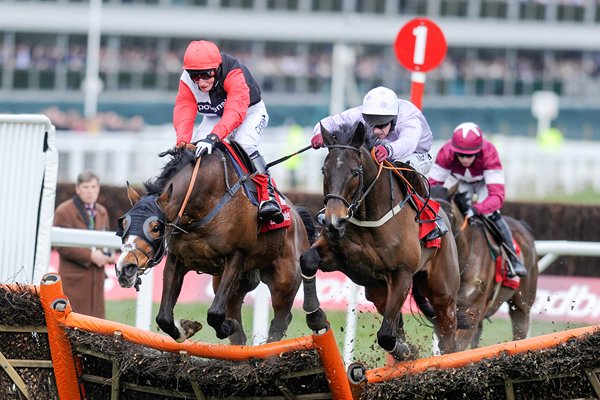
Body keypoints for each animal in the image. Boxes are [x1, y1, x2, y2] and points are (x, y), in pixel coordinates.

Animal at [114, 145, 316, 346]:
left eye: (156, 227)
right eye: (123, 223)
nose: (125, 268)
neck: (202, 203)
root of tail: (297, 217)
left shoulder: (236, 256)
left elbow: (215, 313)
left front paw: (227, 326)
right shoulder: (176, 259)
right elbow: (163, 318)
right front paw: (186, 328)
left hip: (284, 282)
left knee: (280, 321)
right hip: (234, 284)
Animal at [302, 122, 462, 360]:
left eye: (355, 172)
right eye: (324, 170)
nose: (333, 222)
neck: (368, 219)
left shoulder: (402, 274)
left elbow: (386, 335)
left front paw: (407, 351)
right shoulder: (339, 258)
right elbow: (308, 259)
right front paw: (315, 317)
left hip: (442, 292)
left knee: (447, 330)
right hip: (377, 292)